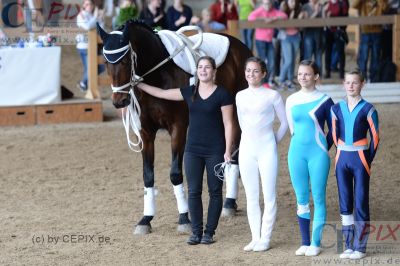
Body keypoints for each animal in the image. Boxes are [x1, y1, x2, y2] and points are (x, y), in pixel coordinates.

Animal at [98, 19, 252, 234]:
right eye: (105, 62)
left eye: (126, 61)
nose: (119, 101)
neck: (157, 75)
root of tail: (240, 45)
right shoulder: (145, 133)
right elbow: (148, 176)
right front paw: (145, 219)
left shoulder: (178, 128)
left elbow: (175, 174)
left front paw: (184, 218)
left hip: (235, 115)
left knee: (234, 155)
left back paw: (229, 203)